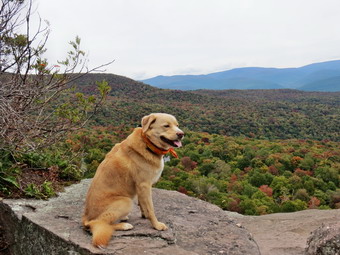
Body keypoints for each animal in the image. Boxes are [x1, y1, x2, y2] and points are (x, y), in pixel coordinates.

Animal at [81, 112, 183, 248]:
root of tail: (85, 219)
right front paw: (156, 225)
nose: (181, 134)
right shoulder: (144, 185)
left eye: (177, 125)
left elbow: (143, 204)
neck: (147, 144)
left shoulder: (141, 187)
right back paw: (124, 225)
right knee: (100, 223)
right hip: (126, 201)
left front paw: (144, 215)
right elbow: (151, 208)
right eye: (166, 126)